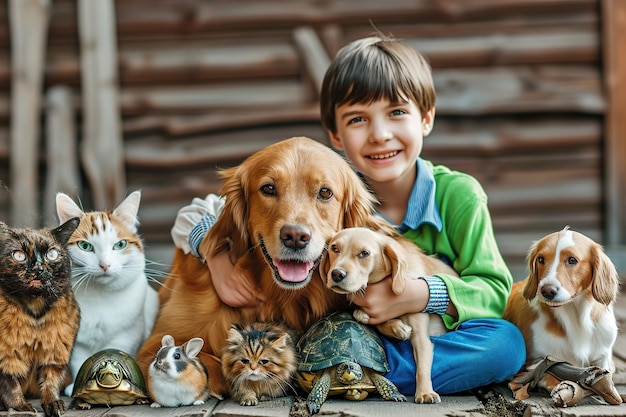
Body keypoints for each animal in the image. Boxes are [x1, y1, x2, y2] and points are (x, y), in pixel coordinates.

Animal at [56, 190, 160, 394]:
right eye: (85, 246)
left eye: (120, 245)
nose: (105, 265)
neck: (100, 295)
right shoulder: (78, 342)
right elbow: (80, 362)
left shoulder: (127, 336)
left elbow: (116, 355)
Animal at [320, 226, 456, 402]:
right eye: (334, 248)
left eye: (364, 253)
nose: (336, 274)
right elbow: (363, 316)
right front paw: (397, 328)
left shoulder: (421, 337)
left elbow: (422, 366)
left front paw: (425, 392)